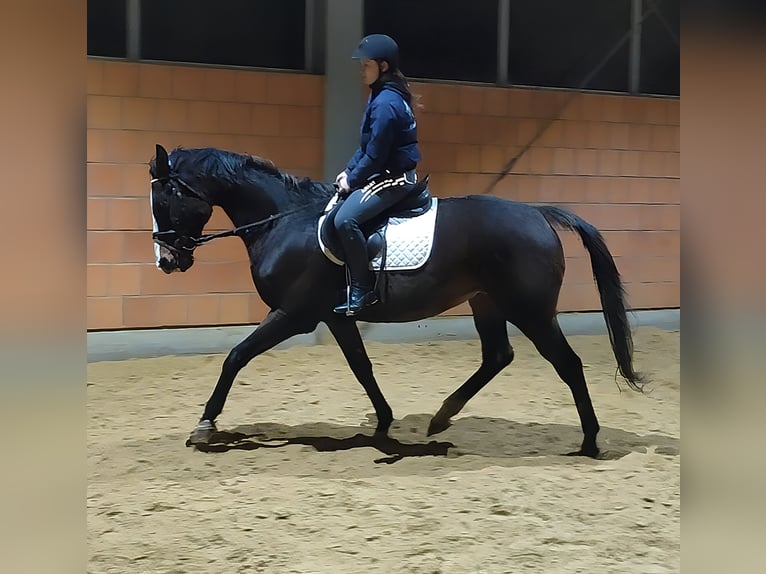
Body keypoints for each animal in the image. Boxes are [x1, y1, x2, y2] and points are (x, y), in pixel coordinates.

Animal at [149, 144, 645, 458]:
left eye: (165, 195)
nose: (166, 260)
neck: (284, 221)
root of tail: (538, 214)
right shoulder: (336, 317)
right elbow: (361, 366)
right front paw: (384, 421)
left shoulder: (293, 314)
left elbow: (235, 356)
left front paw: (204, 426)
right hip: (486, 302)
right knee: (497, 356)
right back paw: (442, 418)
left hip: (531, 310)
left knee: (568, 364)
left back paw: (589, 442)